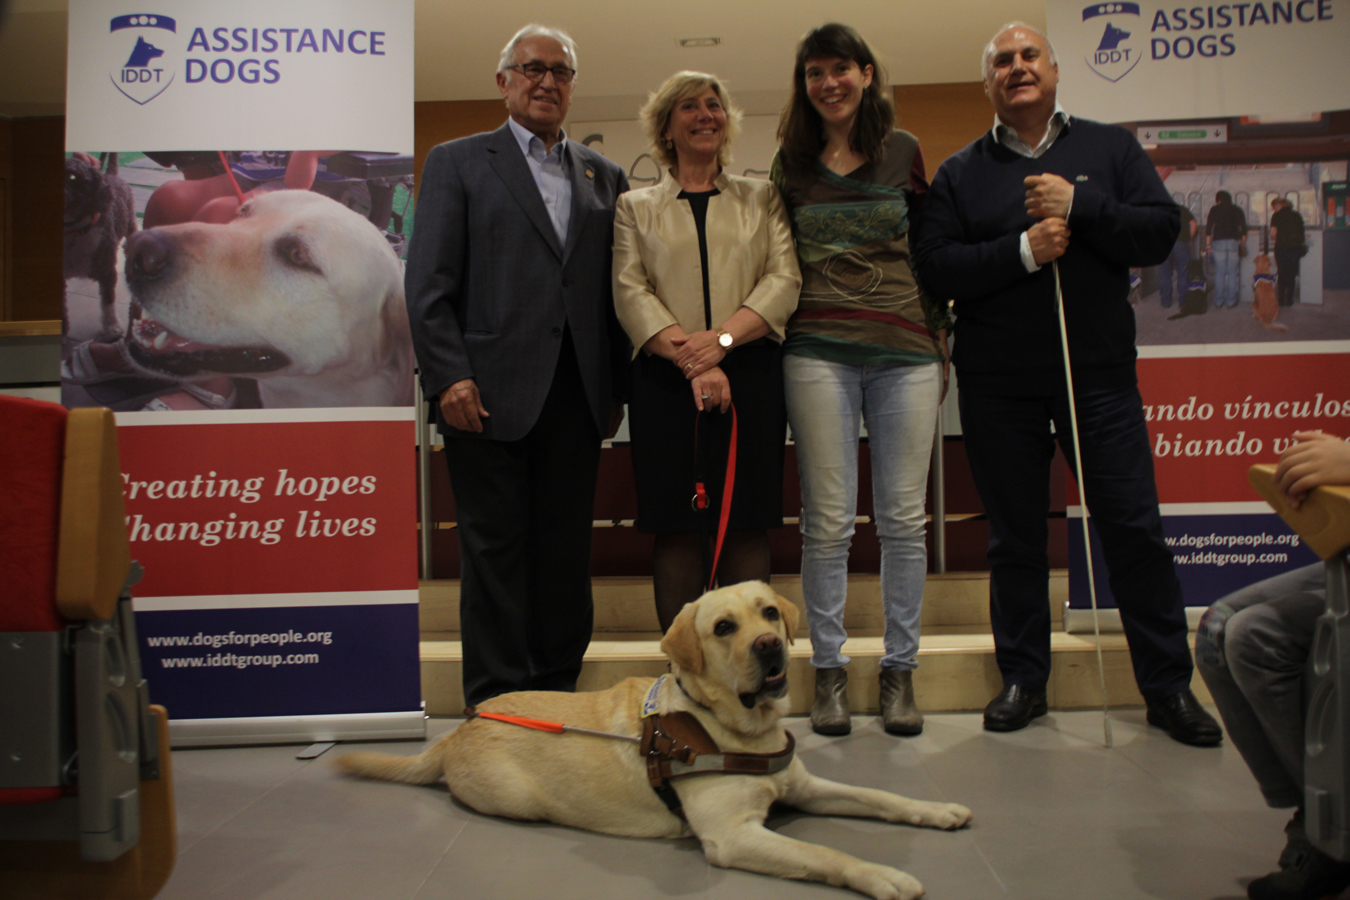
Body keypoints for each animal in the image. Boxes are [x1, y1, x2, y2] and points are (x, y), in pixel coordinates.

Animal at [336, 580, 972, 895]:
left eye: (769, 612)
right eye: (723, 627)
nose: (769, 646)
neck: (731, 726)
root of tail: (463, 726)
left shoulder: (804, 786)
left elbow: (880, 796)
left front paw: (935, 809)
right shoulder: (733, 835)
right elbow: (825, 853)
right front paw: (883, 875)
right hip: (516, 799)